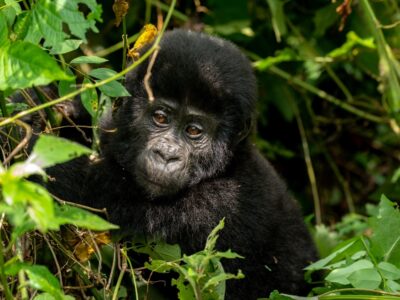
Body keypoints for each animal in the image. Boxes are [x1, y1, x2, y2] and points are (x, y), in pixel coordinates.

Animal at [46, 29, 316, 298]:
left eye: (194, 131)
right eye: (160, 117)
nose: (166, 155)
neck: (226, 166)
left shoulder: (222, 205)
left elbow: (84, 196)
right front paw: (70, 111)